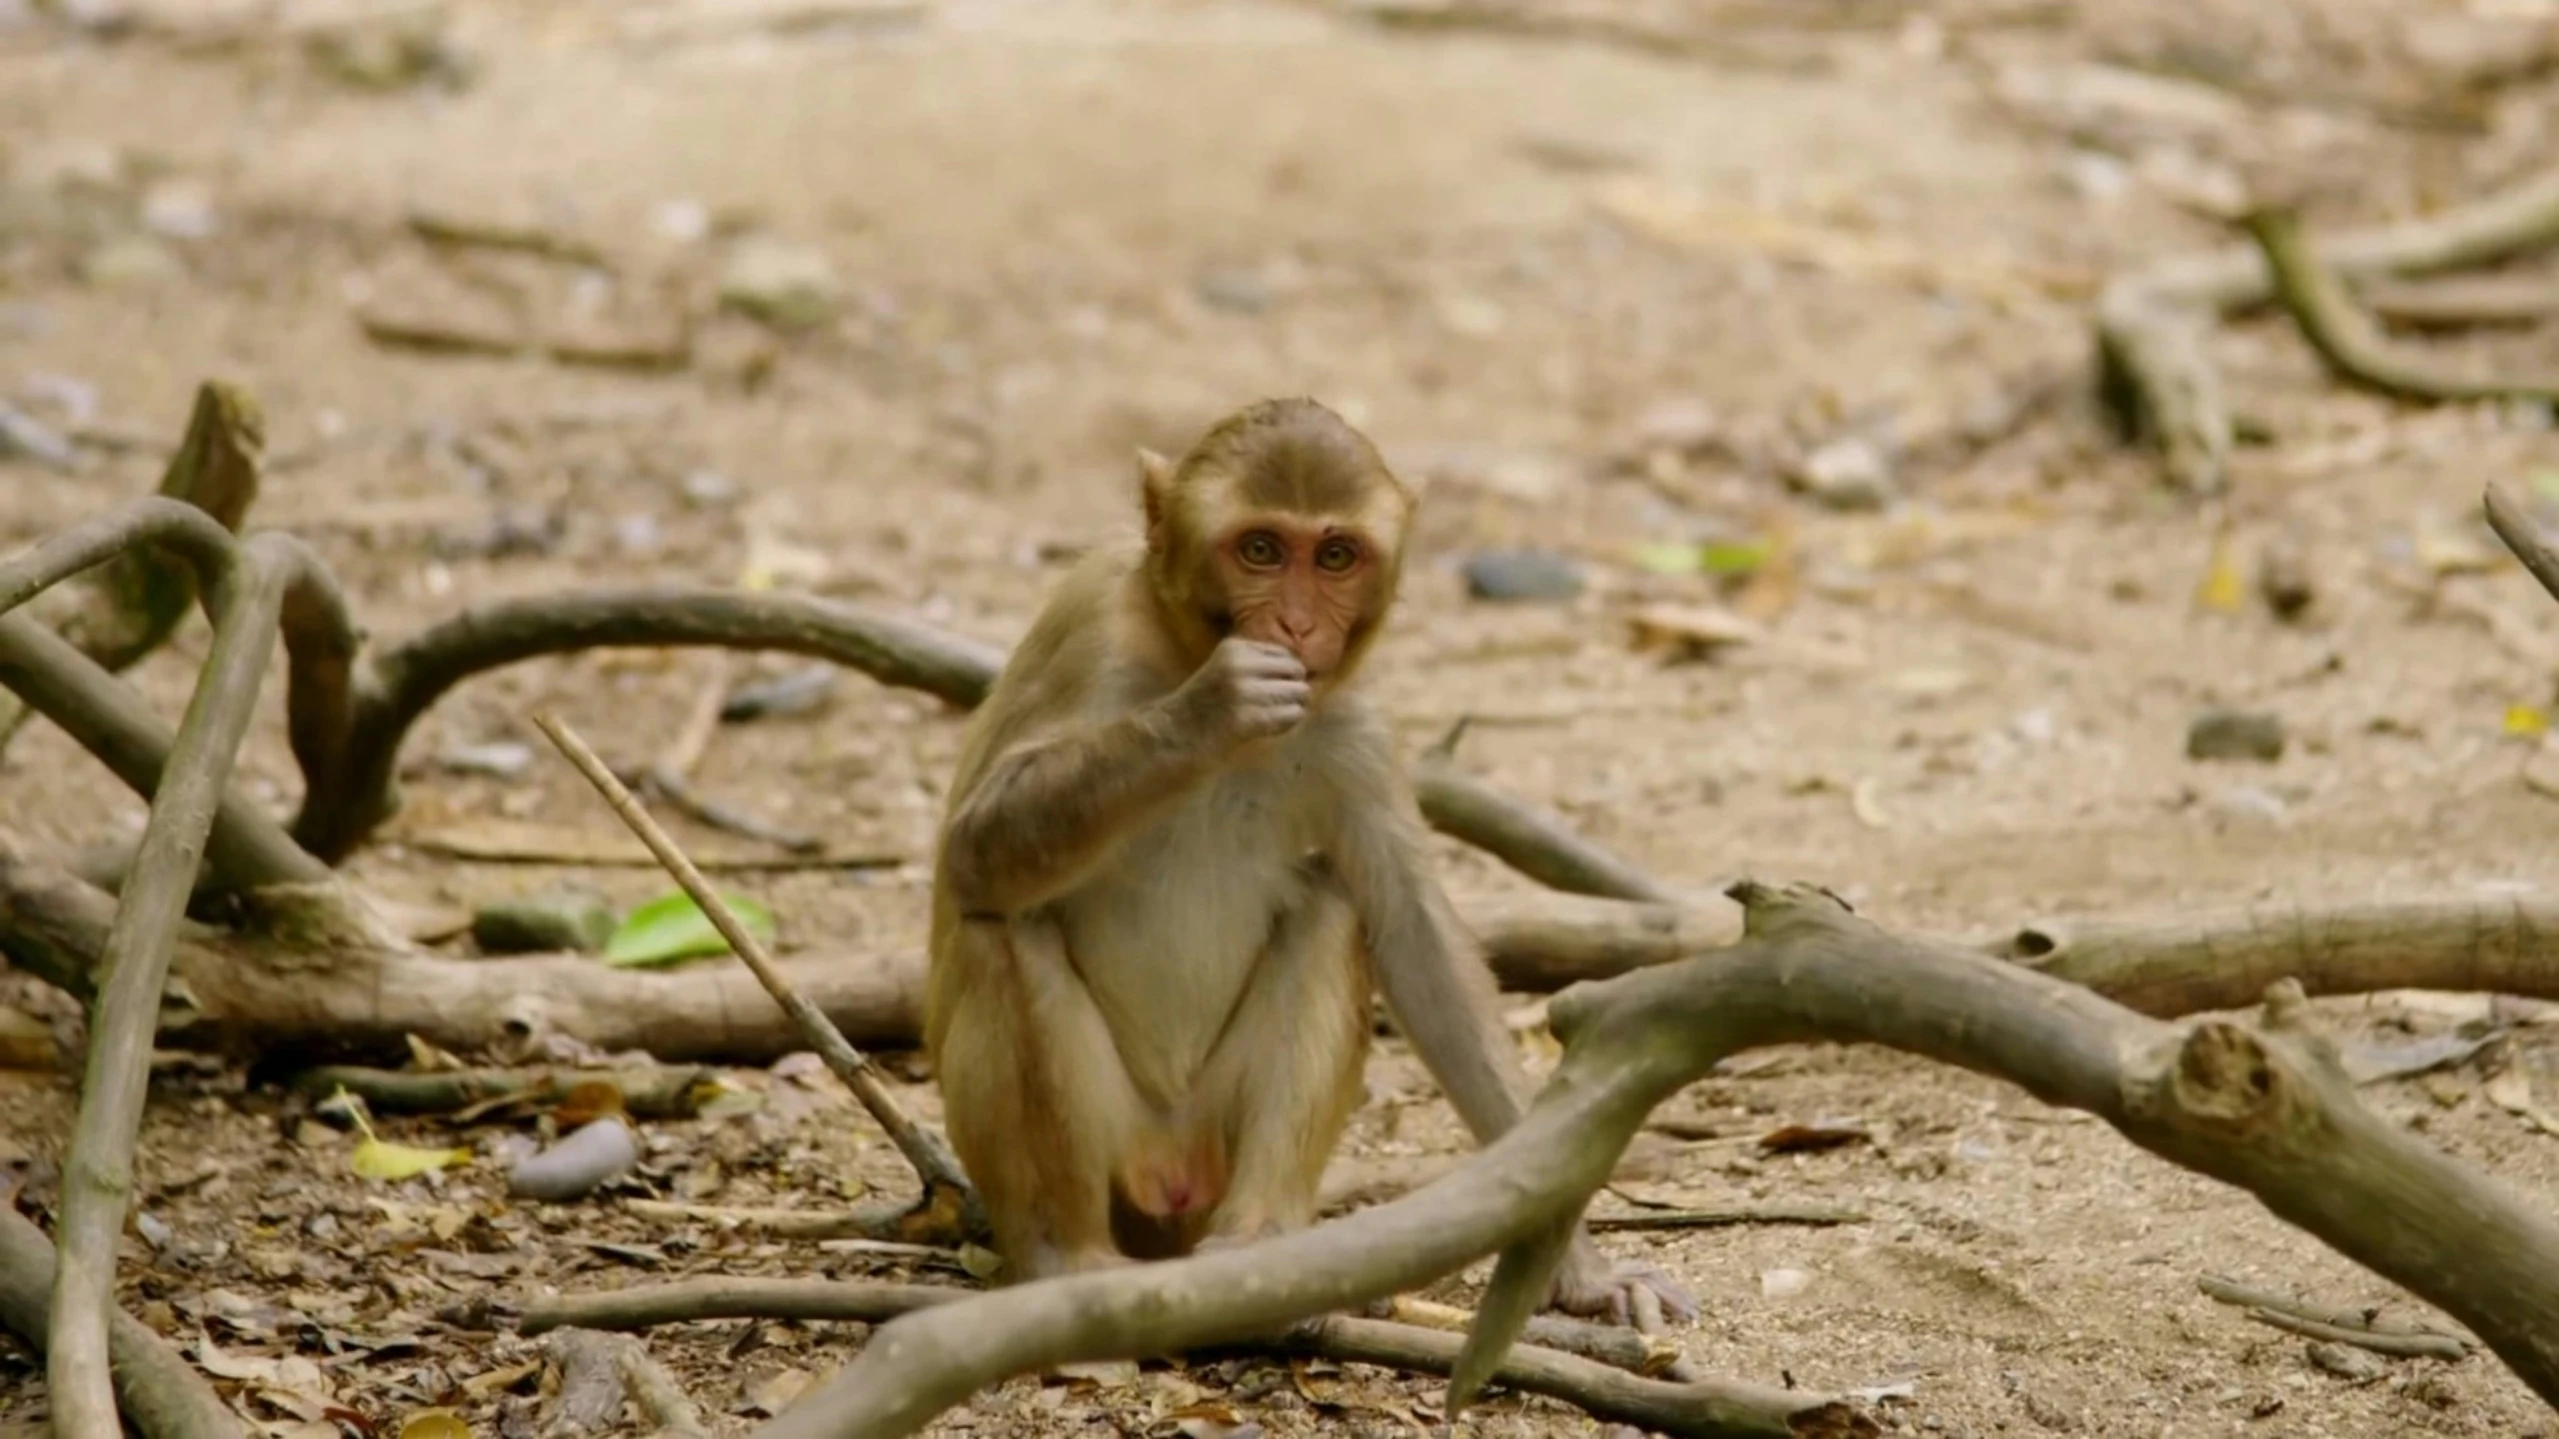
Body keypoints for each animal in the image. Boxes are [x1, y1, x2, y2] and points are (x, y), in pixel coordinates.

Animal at [921, 391, 1699, 1321]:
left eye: (1335, 555)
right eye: (1259, 548)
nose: (1294, 624)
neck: (1176, 645)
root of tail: (1170, 1176)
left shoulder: (1353, 725)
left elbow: (1417, 944)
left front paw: (1577, 1262)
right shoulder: (1087, 624)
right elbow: (973, 849)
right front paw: (1208, 711)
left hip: (1211, 1148)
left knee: (1331, 907)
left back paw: (1259, 1242)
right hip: (1115, 1151)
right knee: (1005, 923)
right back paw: (1064, 1259)